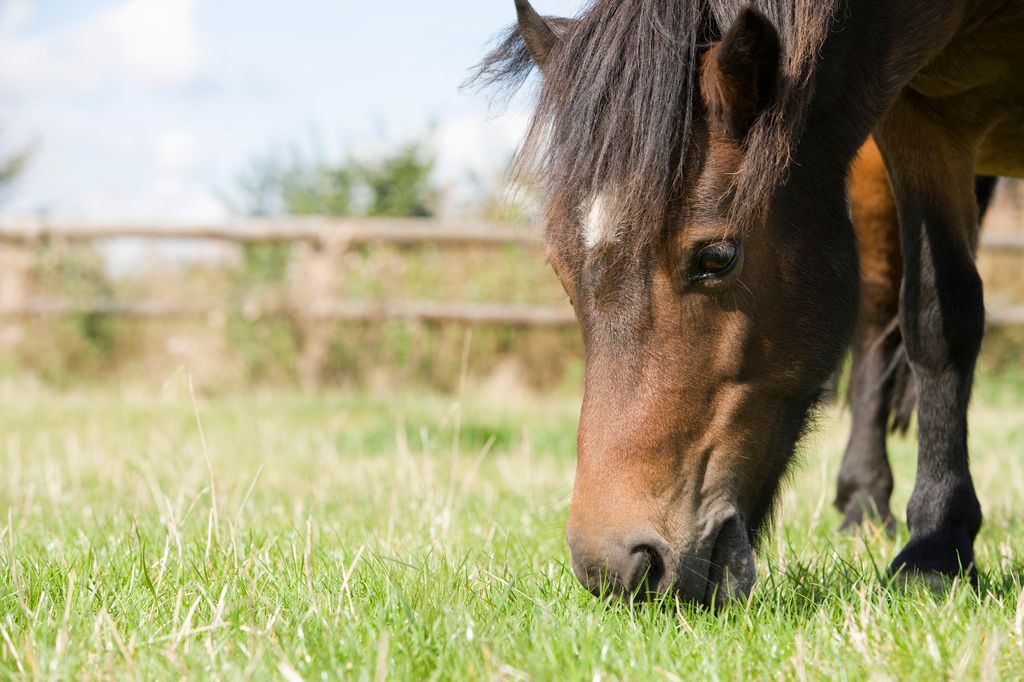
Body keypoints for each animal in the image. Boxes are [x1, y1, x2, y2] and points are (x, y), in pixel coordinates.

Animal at [474, 0, 1023, 604]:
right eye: (561, 269)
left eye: (716, 258)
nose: (617, 570)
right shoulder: (921, 122)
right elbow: (936, 318)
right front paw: (938, 543)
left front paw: (934, 552)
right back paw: (863, 502)